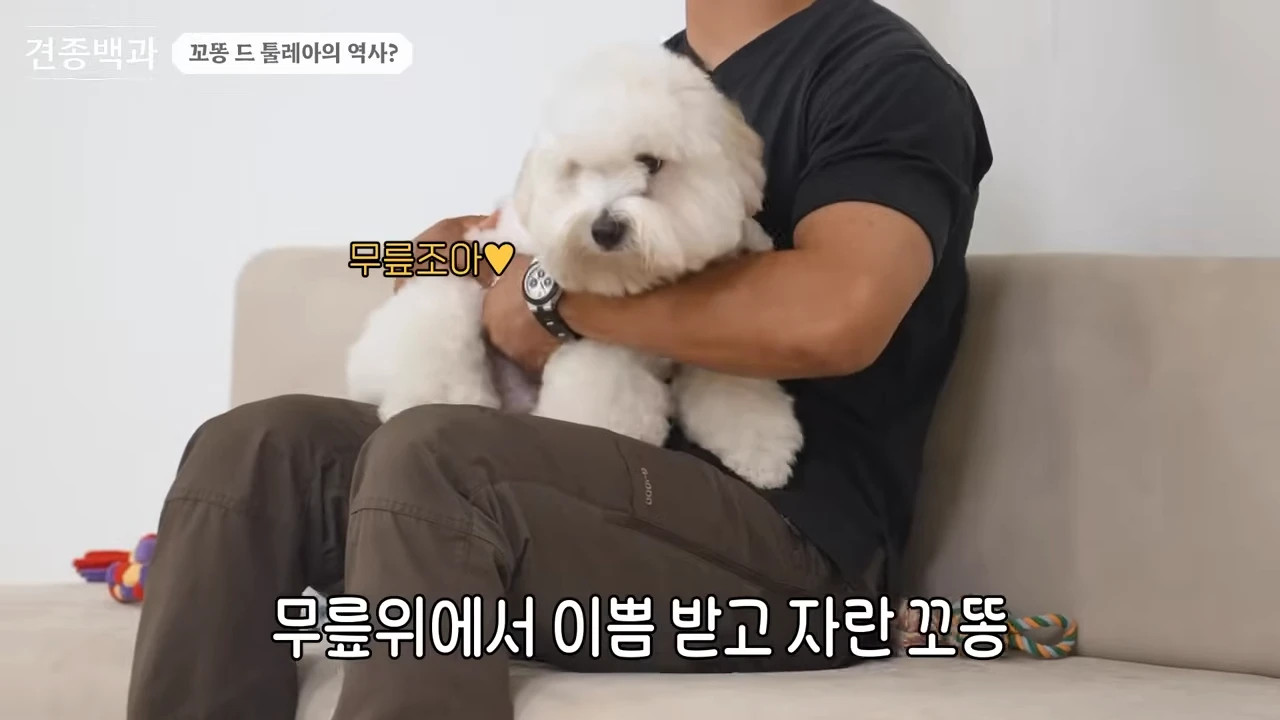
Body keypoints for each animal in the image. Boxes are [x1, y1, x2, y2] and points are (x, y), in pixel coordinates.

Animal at [346, 43, 803, 490]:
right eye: (576, 169)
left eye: (650, 162)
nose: (604, 229)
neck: (642, 278)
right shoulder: (601, 352)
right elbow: (604, 416)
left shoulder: (717, 341)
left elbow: (736, 392)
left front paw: (763, 450)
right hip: (448, 298)